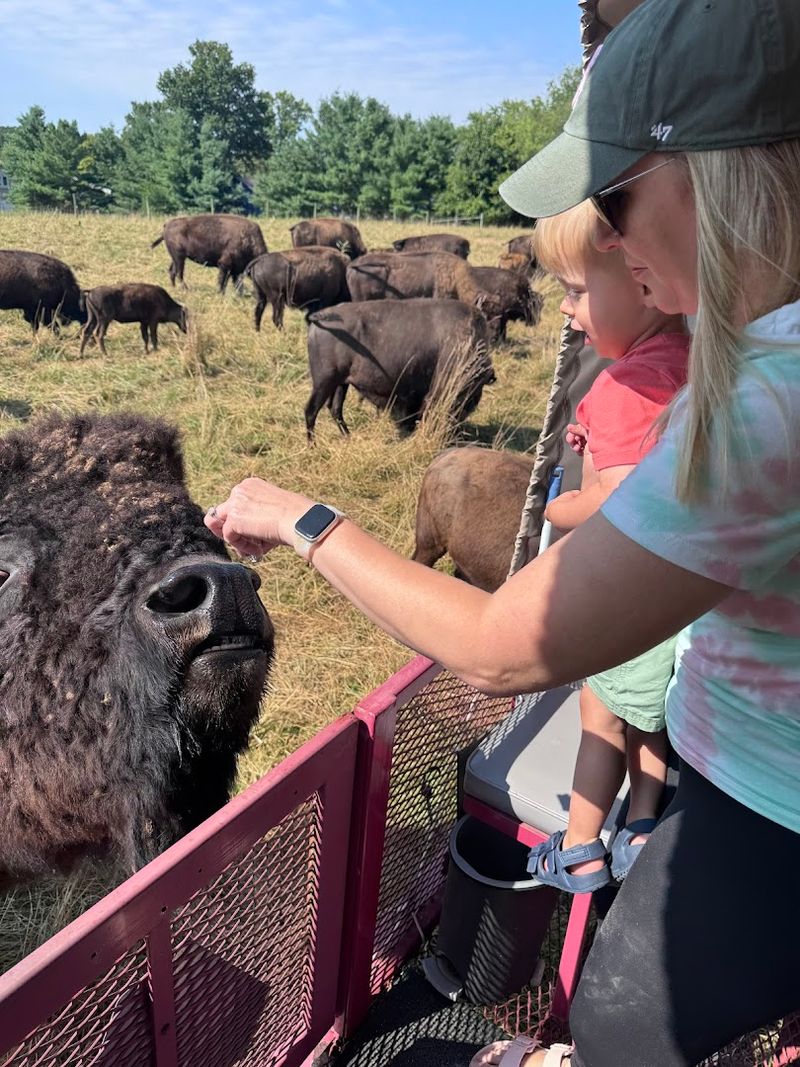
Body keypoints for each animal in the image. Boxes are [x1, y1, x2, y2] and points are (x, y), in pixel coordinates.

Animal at [305, 299, 495, 441]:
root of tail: (318, 320)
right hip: (324, 382)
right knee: (311, 411)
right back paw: (313, 446)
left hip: (340, 383)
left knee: (335, 409)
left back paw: (348, 437)